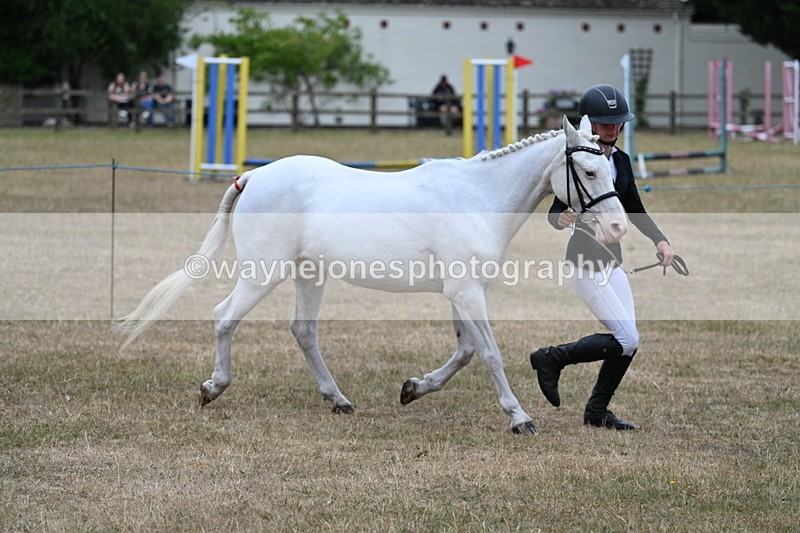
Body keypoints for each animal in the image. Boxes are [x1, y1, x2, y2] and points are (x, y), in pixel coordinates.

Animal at [118, 115, 627, 435]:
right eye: (587, 170)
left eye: (608, 164)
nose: (618, 228)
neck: (476, 198)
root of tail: (253, 178)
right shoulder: (467, 292)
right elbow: (490, 355)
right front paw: (519, 418)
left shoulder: (461, 292)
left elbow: (464, 352)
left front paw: (413, 389)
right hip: (264, 272)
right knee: (225, 317)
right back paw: (213, 388)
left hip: (309, 273)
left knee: (303, 331)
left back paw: (338, 399)